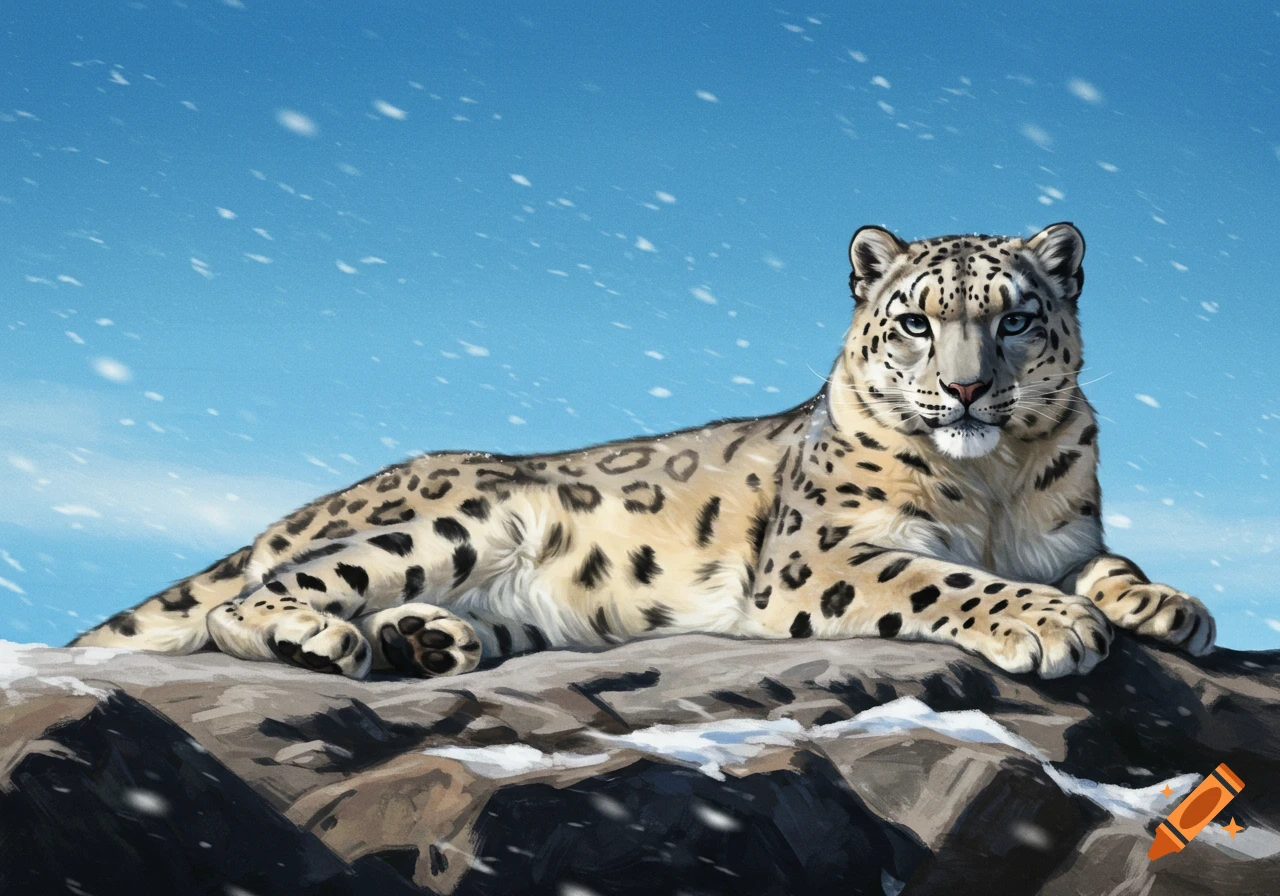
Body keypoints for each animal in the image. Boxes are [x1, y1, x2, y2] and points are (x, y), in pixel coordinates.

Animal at [70, 223, 1216, 680]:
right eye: (914, 323)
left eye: (1014, 318)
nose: (970, 386)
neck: (988, 482)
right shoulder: (826, 553)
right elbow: (943, 580)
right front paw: (1049, 624)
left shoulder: (1063, 533)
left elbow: (1105, 559)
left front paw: (1168, 605)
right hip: (451, 521)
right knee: (245, 596)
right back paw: (325, 638)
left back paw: (429, 644)